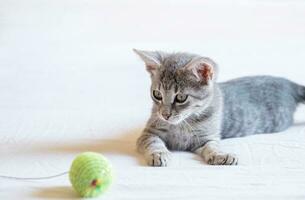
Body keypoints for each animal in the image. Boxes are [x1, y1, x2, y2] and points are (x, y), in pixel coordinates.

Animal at [134, 49, 304, 166]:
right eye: (157, 94)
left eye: (181, 98)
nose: (164, 115)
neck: (182, 124)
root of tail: (288, 83)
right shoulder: (148, 133)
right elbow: (153, 142)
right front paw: (158, 154)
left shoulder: (207, 137)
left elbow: (212, 146)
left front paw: (220, 155)